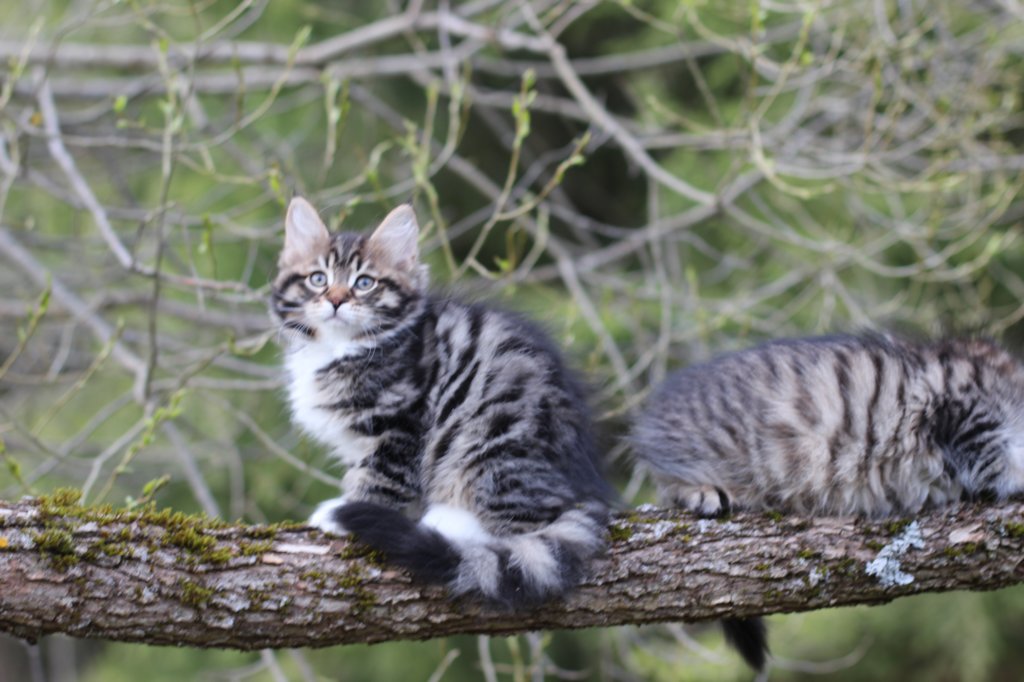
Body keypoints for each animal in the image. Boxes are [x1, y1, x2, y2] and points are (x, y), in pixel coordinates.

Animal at [271, 196, 609, 607]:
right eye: (318, 279)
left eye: (364, 283)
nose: (336, 300)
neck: (342, 347)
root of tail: (585, 488)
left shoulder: (400, 423)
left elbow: (380, 479)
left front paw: (348, 511)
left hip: (491, 443)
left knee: (525, 524)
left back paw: (447, 521)